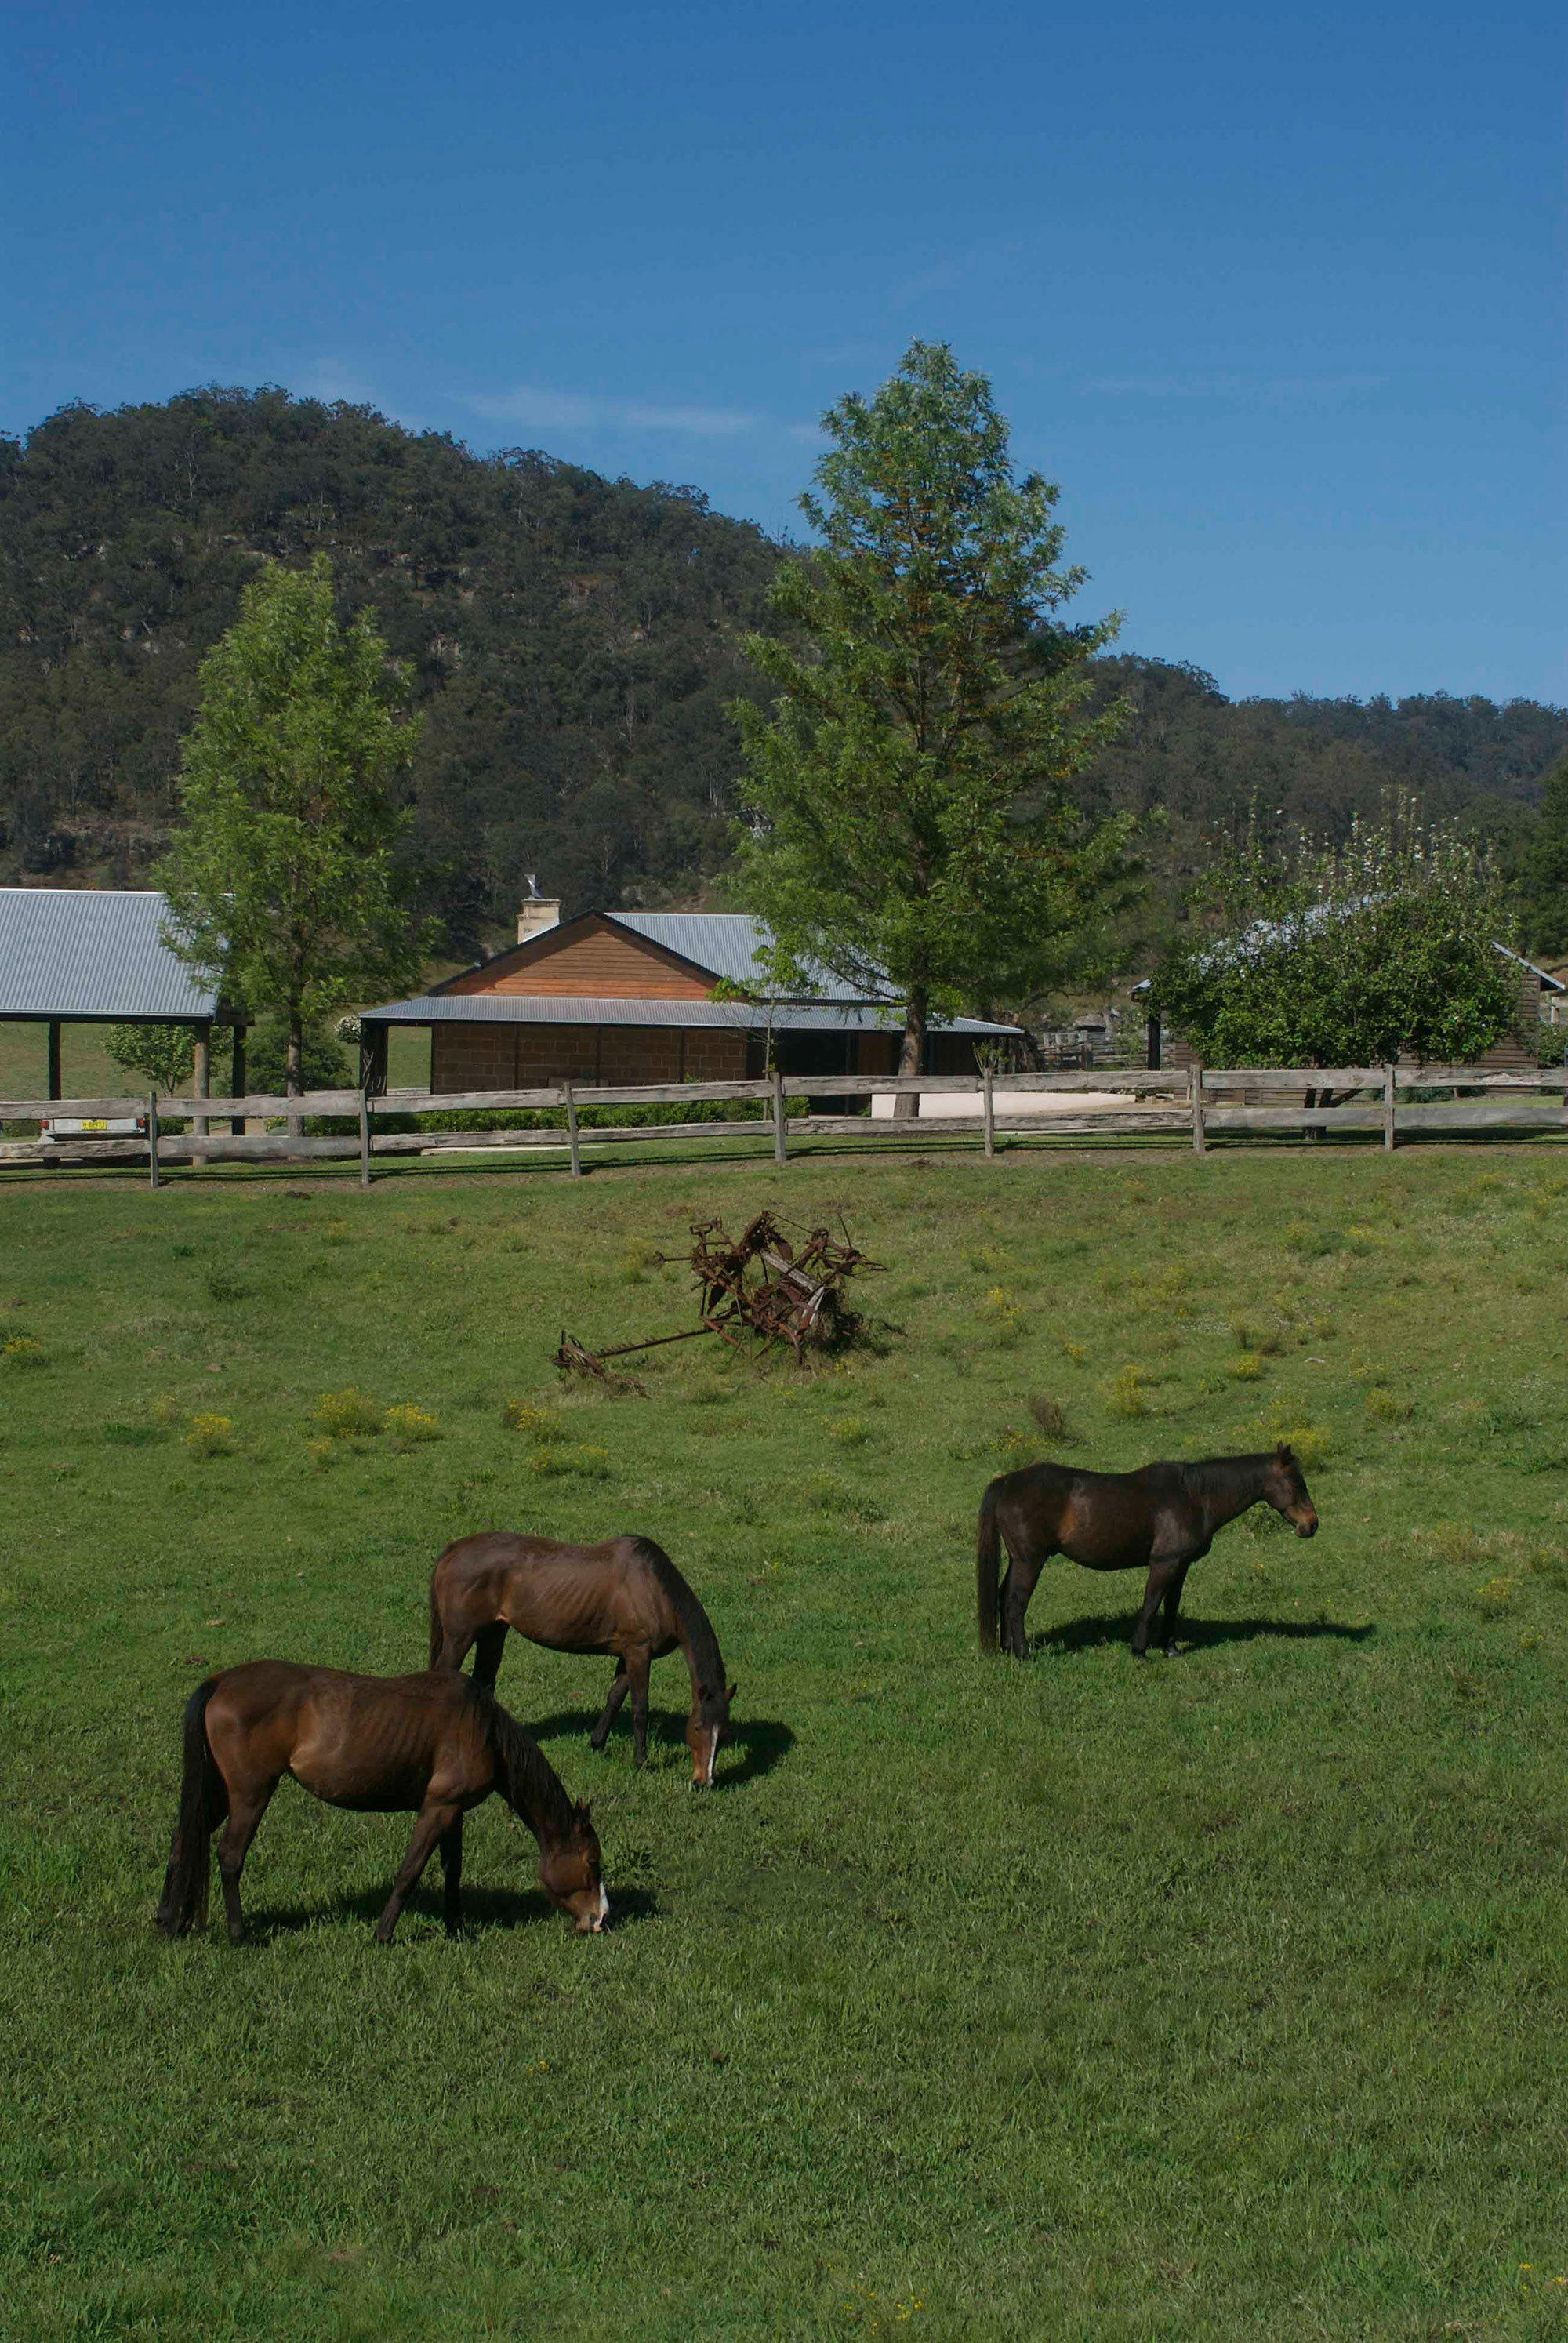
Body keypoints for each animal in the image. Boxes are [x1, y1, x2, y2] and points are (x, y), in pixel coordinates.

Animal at [154, 1658, 604, 1949]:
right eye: (593, 1863)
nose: (598, 1919)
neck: (485, 1729)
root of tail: (219, 1682)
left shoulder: (453, 1811)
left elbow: (452, 1867)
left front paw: (456, 1927)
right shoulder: (438, 1807)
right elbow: (410, 1871)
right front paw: (383, 1934)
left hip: (218, 1792)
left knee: (184, 1838)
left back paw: (168, 1920)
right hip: (250, 1794)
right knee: (229, 1856)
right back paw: (238, 1935)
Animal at [424, 1527, 735, 1780]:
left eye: (724, 1733)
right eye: (698, 1727)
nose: (704, 1781)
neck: (653, 1589)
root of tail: (452, 1550)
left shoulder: (627, 1653)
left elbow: (614, 1698)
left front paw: (597, 1744)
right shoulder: (638, 1652)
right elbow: (639, 1707)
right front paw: (640, 1761)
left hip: (493, 1633)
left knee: (484, 1682)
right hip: (460, 1638)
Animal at [970, 1433, 1312, 1658]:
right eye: (1296, 1483)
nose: (1311, 1525)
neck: (1194, 1496)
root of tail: (1006, 1482)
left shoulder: (1180, 1566)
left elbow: (1171, 1607)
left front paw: (1171, 1649)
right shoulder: (1164, 1563)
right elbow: (1150, 1605)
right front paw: (1139, 1651)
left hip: (1017, 1559)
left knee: (1003, 1596)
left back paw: (1006, 1649)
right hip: (1030, 1560)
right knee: (1016, 1602)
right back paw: (1023, 1654)